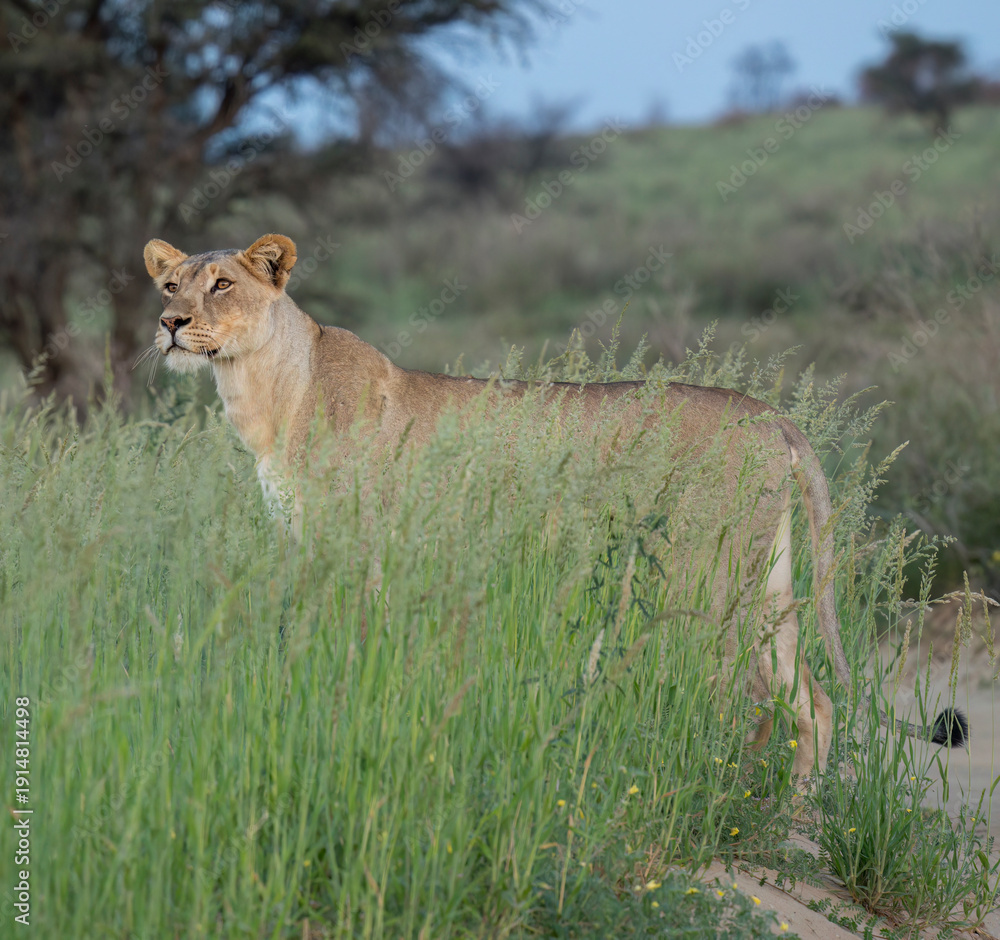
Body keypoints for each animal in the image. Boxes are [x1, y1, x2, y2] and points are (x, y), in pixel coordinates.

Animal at [143, 232, 967, 779]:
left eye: (221, 285)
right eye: (169, 285)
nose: (169, 325)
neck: (262, 391)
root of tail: (770, 415)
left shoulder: (356, 542)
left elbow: (338, 640)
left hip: (709, 577)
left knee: (755, 696)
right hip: (767, 579)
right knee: (812, 702)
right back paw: (787, 827)